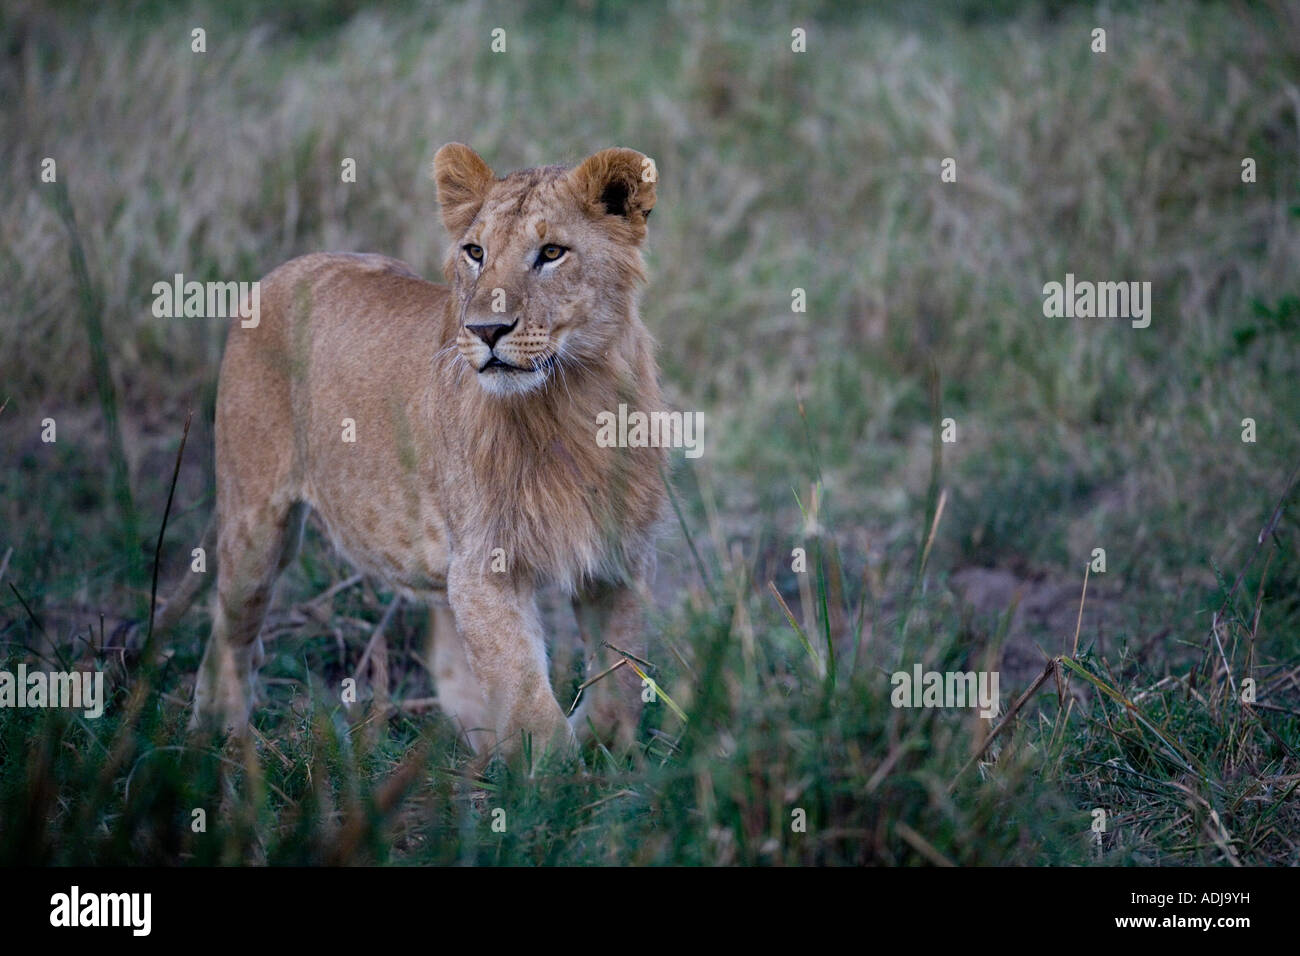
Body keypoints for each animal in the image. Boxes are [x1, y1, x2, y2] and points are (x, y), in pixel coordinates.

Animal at [191, 144, 668, 764]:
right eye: (476, 252)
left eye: (552, 253)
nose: (486, 330)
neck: (571, 400)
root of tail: (281, 270)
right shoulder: (483, 565)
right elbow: (526, 697)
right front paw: (557, 775)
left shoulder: (619, 557)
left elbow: (622, 677)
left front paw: (603, 752)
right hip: (254, 527)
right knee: (228, 635)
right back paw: (218, 742)